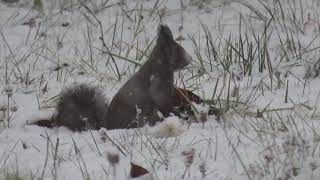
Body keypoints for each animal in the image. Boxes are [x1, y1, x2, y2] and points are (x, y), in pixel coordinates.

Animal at [31, 24, 201, 131]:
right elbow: (163, 103)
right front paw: (178, 115)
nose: (190, 58)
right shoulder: (157, 86)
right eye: (178, 51)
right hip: (141, 116)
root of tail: (106, 125)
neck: (160, 65)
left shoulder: (169, 89)